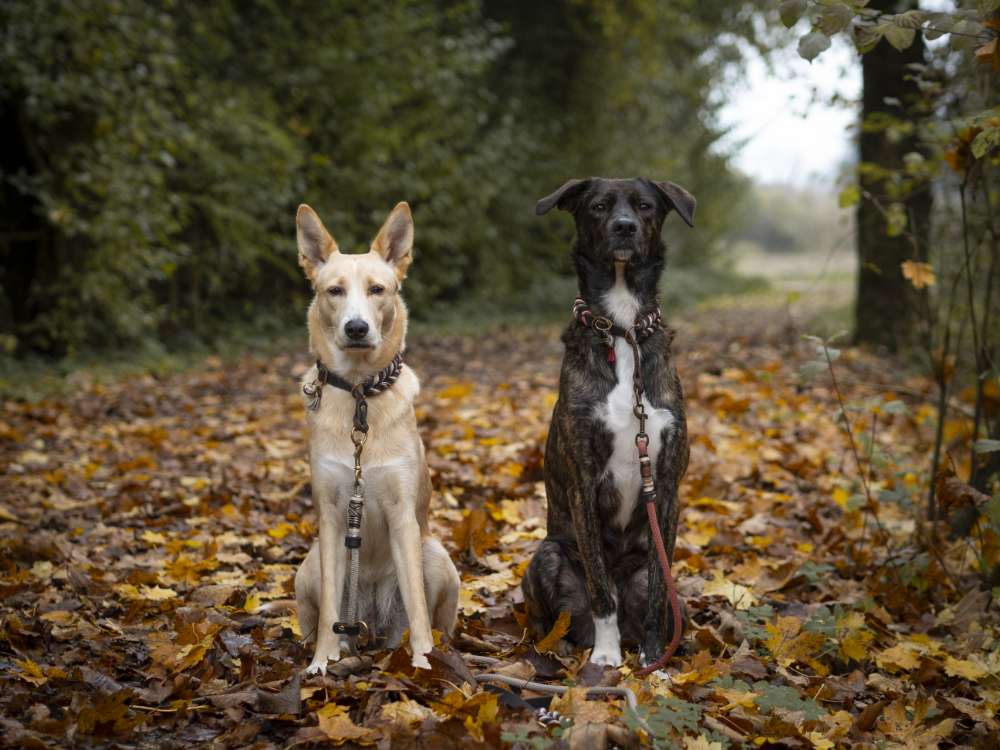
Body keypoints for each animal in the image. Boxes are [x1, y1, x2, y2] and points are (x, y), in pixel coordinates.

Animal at [292, 203, 458, 672]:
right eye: (334, 291)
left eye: (377, 289)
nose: (356, 328)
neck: (360, 395)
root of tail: (369, 623)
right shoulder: (331, 516)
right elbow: (330, 606)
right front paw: (321, 663)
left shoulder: (403, 515)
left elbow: (418, 607)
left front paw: (423, 664)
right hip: (308, 565)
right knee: (327, 615)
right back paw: (336, 647)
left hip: (436, 555)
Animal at [524, 178, 696, 668]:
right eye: (599, 206)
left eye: (645, 206)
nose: (624, 227)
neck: (622, 328)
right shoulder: (583, 482)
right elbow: (601, 589)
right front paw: (606, 654)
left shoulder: (667, 486)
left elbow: (658, 592)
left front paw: (655, 658)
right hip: (546, 556)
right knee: (550, 620)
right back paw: (561, 647)